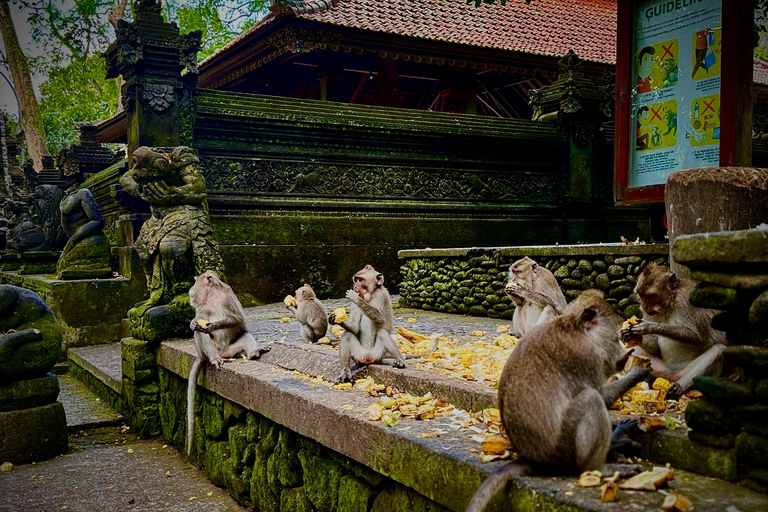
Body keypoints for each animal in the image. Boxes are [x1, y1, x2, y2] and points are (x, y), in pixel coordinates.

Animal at [186, 270, 270, 456]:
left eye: (195, 282)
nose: (190, 291)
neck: (212, 297)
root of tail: (223, 354)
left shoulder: (228, 298)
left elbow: (239, 320)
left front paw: (212, 326)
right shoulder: (201, 309)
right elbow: (198, 324)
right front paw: (193, 323)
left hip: (232, 350)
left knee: (244, 334)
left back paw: (253, 353)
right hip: (208, 352)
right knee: (201, 335)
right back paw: (215, 359)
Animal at [466, 290, 650, 512]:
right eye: (614, 338)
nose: (620, 353)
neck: (575, 328)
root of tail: (537, 461)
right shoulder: (586, 358)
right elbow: (601, 394)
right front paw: (637, 372)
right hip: (564, 449)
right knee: (591, 398)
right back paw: (598, 468)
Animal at [619, 263, 726, 399]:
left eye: (650, 296)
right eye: (641, 295)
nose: (644, 306)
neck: (670, 303)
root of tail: (669, 376)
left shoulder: (686, 301)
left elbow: (696, 337)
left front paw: (649, 327)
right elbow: (653, 344)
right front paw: (626, 334)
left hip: (682, 373)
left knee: (719, 350)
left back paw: (679, 387)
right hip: (659, 370)